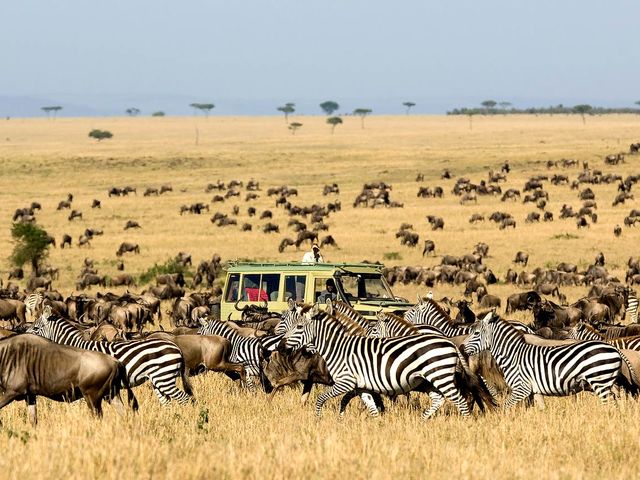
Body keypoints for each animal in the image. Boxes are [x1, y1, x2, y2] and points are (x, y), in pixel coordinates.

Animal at [26, 306, 192, 404]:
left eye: (35, 328)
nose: (23, 336)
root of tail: (176, 347)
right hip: (158, 379)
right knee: (168, 402)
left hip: (164, 377)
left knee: (184, 399)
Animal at [282, 306, 490, 418]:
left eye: (299, 327)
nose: (282, 345)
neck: (338, 348)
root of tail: (449, 342)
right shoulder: (362, 386)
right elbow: (371, 407)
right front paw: (377, 426)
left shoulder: (345, 382)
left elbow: (321, 399)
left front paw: (318, 419)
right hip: (429, 379)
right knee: (439, 399)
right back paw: (422, 422)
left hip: (440, 375)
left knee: (460, 400)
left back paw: (466, 423)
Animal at [460, 310, 632, 406]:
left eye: (476, 333)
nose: (460, 347)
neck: (513, 355)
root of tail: (614, 349)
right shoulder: (534, 390)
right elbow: (540, 409)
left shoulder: (521, 388)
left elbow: (506, 407)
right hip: (607, 381)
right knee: (616, 399)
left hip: (599, 381)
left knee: (610, 402)